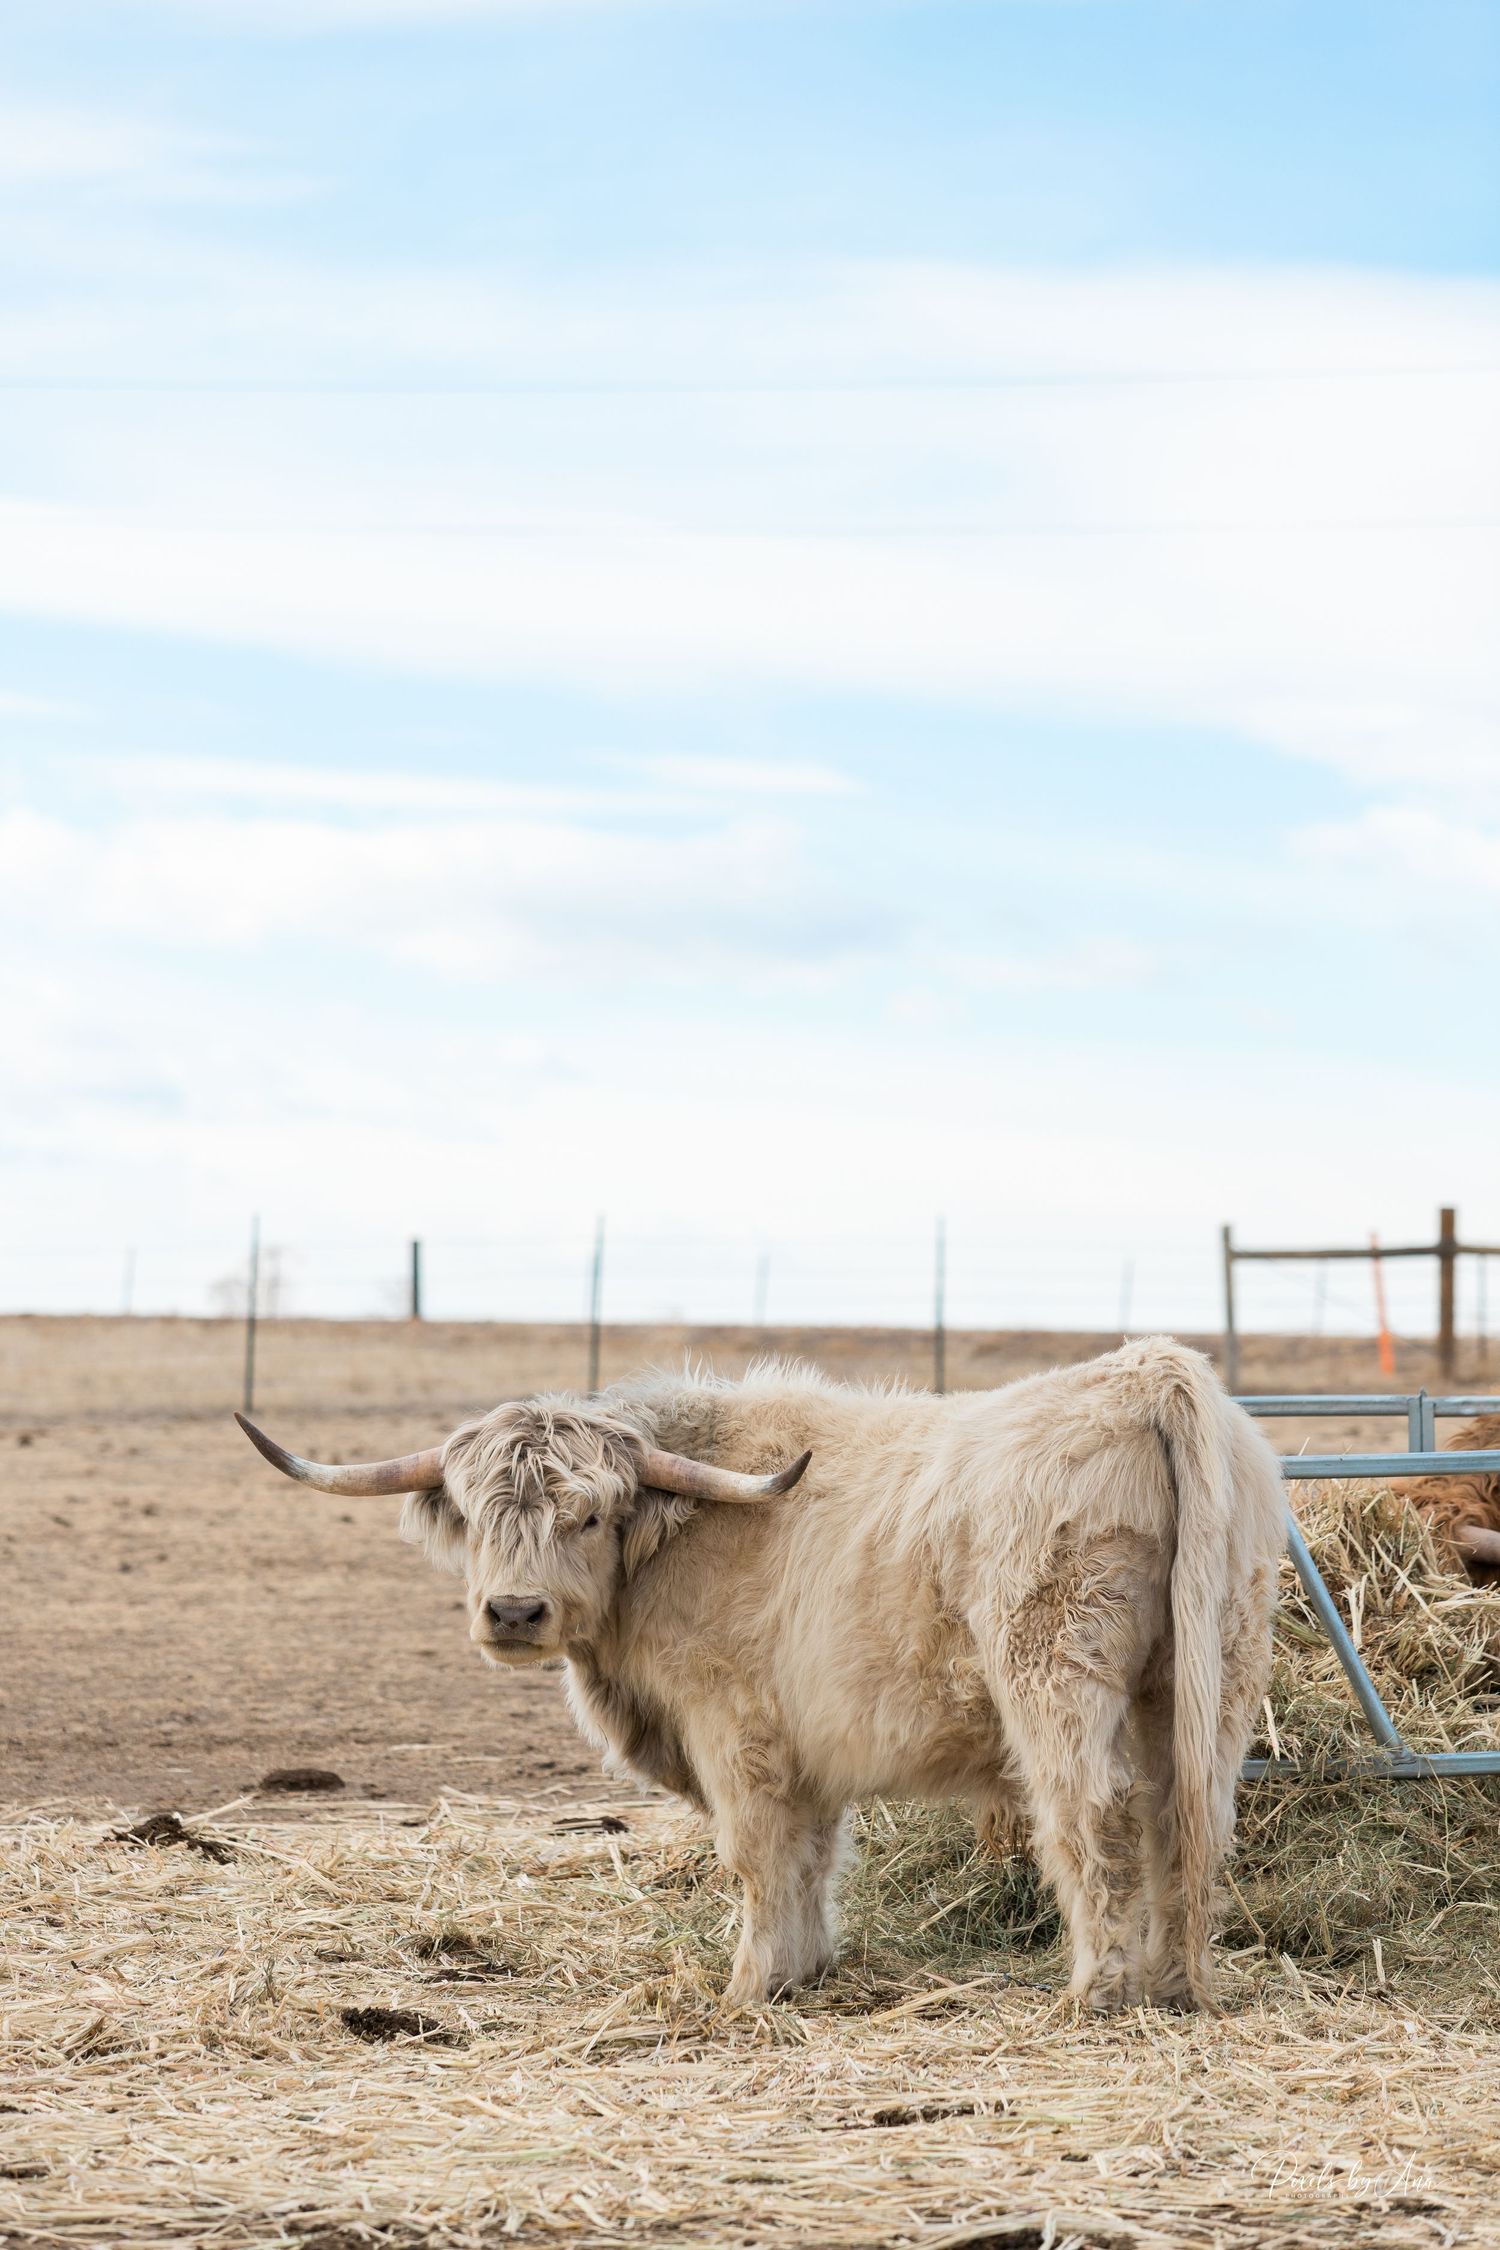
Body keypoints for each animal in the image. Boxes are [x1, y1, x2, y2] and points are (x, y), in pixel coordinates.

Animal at [236, 1336, 1286, 2016]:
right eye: (478, 1512)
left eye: (588, 1516)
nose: (515, 1614)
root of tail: (1147, 1370)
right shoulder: (807, 1750)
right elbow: (812, 1857)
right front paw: (805, 1971)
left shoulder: (732, 1728)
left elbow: (756, 1857)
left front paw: (746, 1990)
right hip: (1211, 1675)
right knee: (1189, 1815)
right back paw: (1178, 1986)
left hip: (1058, 1677)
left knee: (1092, 1813)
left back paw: (1095, 1993)